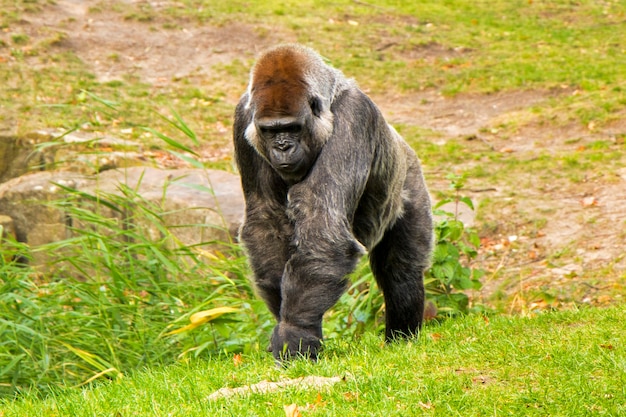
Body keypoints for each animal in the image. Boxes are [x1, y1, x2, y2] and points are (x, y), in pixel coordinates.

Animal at [232, 44, 432, 360]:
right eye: (270, 131)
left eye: (292, 128)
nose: (283, 147)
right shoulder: (244, 118)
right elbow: (266, 218)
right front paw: (286, 320)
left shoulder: (355, 115)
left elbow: (322, 223)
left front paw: (295, 331)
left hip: (409, 182)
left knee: (401, 272)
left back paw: (402, 338)